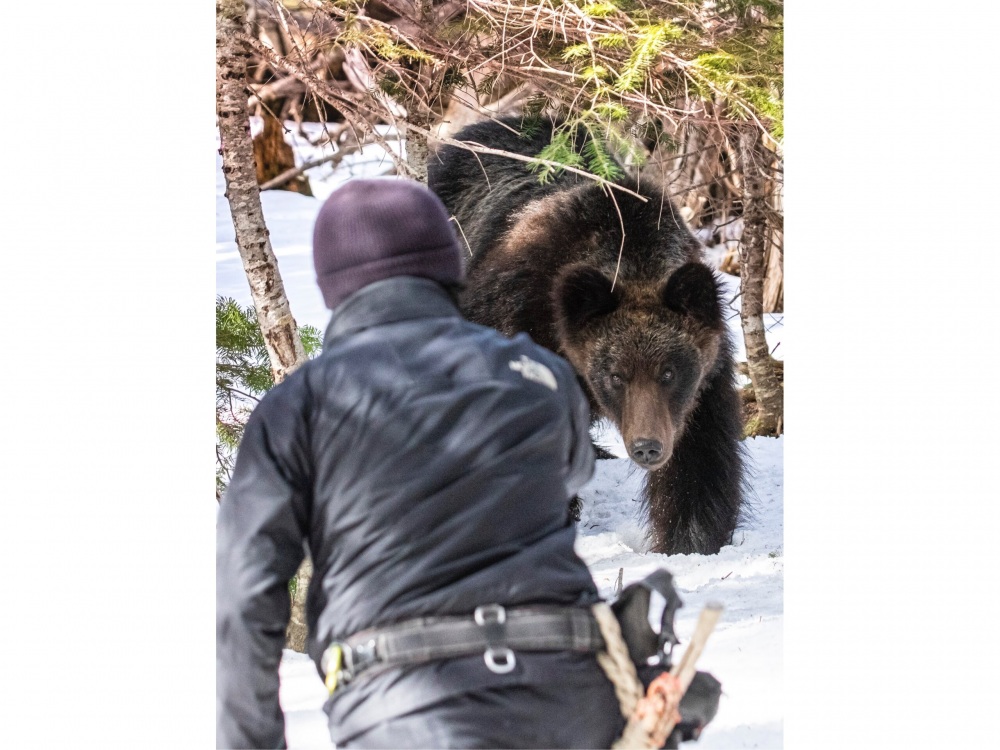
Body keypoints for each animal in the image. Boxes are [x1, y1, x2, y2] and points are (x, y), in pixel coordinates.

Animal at [426, 116, 748, 552]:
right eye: (615, 375)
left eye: (669, 372)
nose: (647, 446)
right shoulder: (515, 315)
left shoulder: (703, 377)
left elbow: (701, 457)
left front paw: (690, 538)